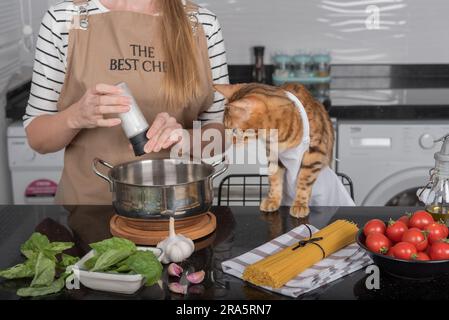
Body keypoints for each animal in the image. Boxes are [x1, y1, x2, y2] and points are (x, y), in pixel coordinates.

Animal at [214, 82, 332, 219]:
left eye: (233, 130)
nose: (227, 143)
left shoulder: (315, 152)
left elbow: (304, 180)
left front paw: (300, 204)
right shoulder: (274, 155)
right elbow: (274, 179)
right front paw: (273, 200)